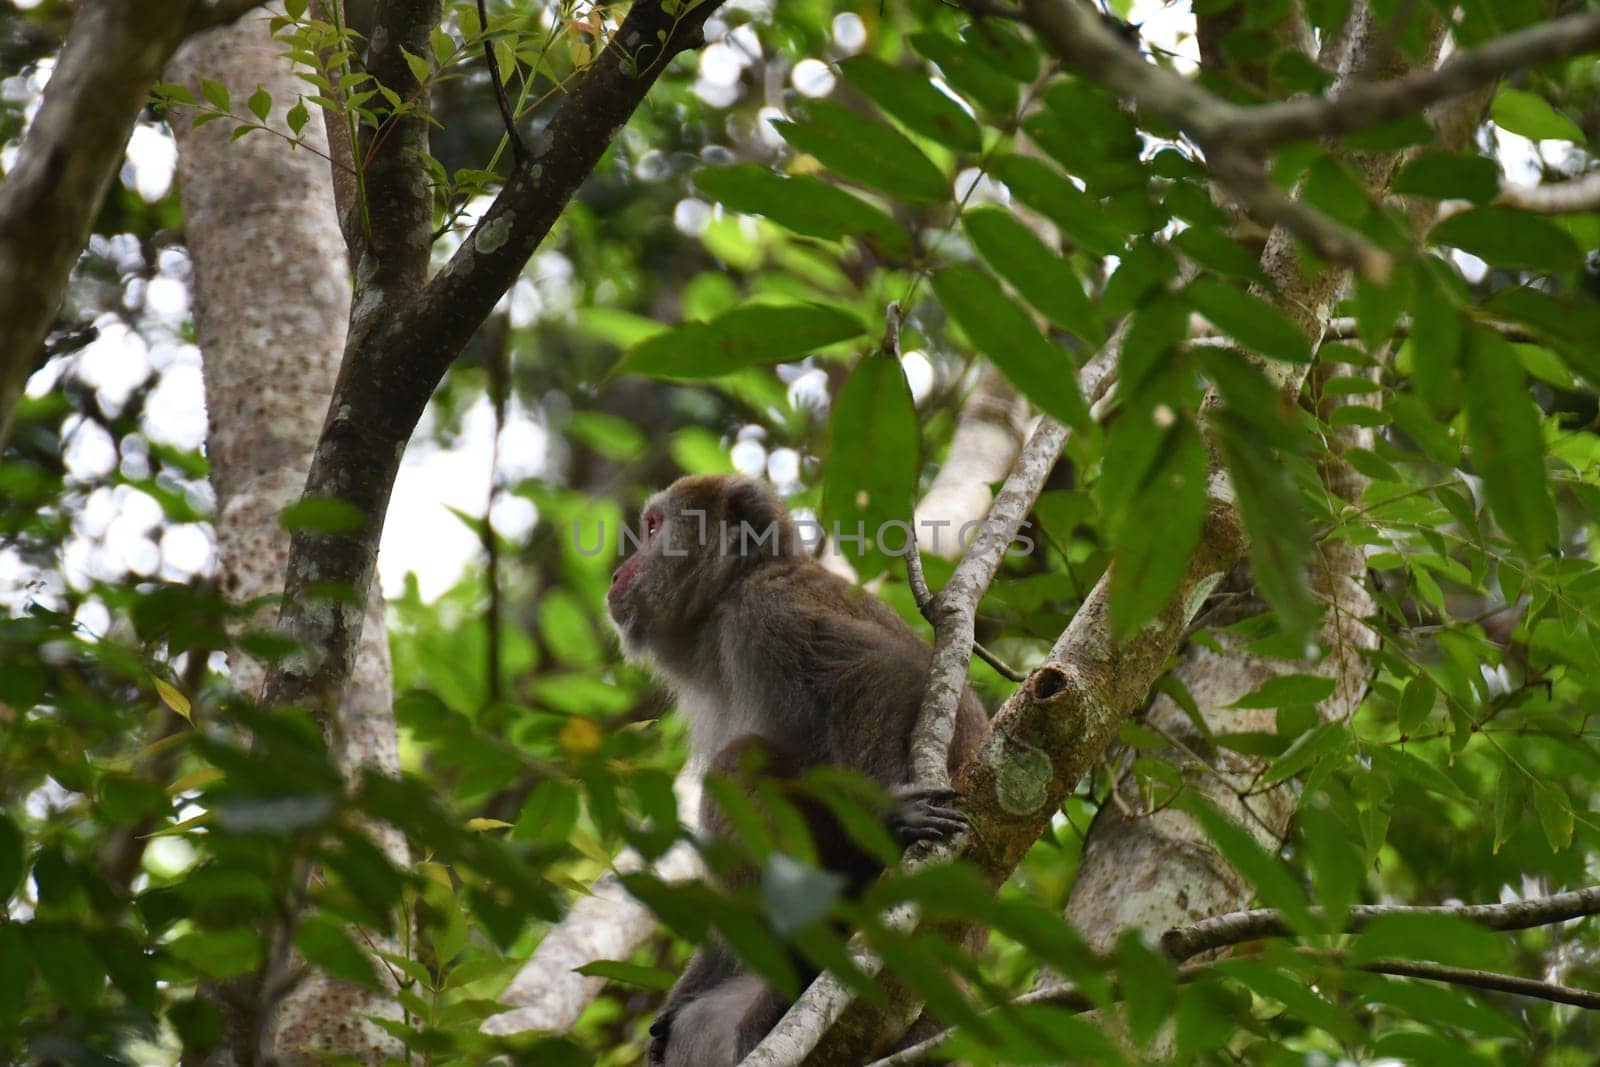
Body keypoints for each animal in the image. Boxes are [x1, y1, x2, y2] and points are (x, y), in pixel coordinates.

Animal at [604, 476, 985, 1067]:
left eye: (651, 527)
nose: (619, 573)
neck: (728, 595)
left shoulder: (769, 609)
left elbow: (885, 669)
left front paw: (892, 817)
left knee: (738, 761)